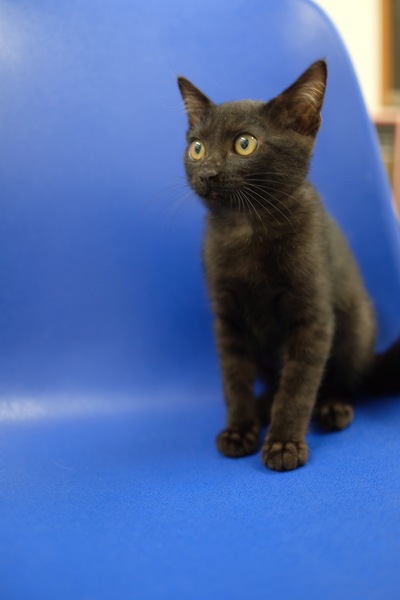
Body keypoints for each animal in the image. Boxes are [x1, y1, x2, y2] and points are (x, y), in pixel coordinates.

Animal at [177, 60, 400, 471]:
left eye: (244, 144)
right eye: (197, 148)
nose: (207, 173)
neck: (246, 227)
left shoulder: (313, 316)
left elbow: (299, 384)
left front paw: (284, 443)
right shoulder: (226, 317)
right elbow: (234, 377)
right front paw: (239, 428)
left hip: (357, 323)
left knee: (348, 381)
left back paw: (332, 407)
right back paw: (262, 405)